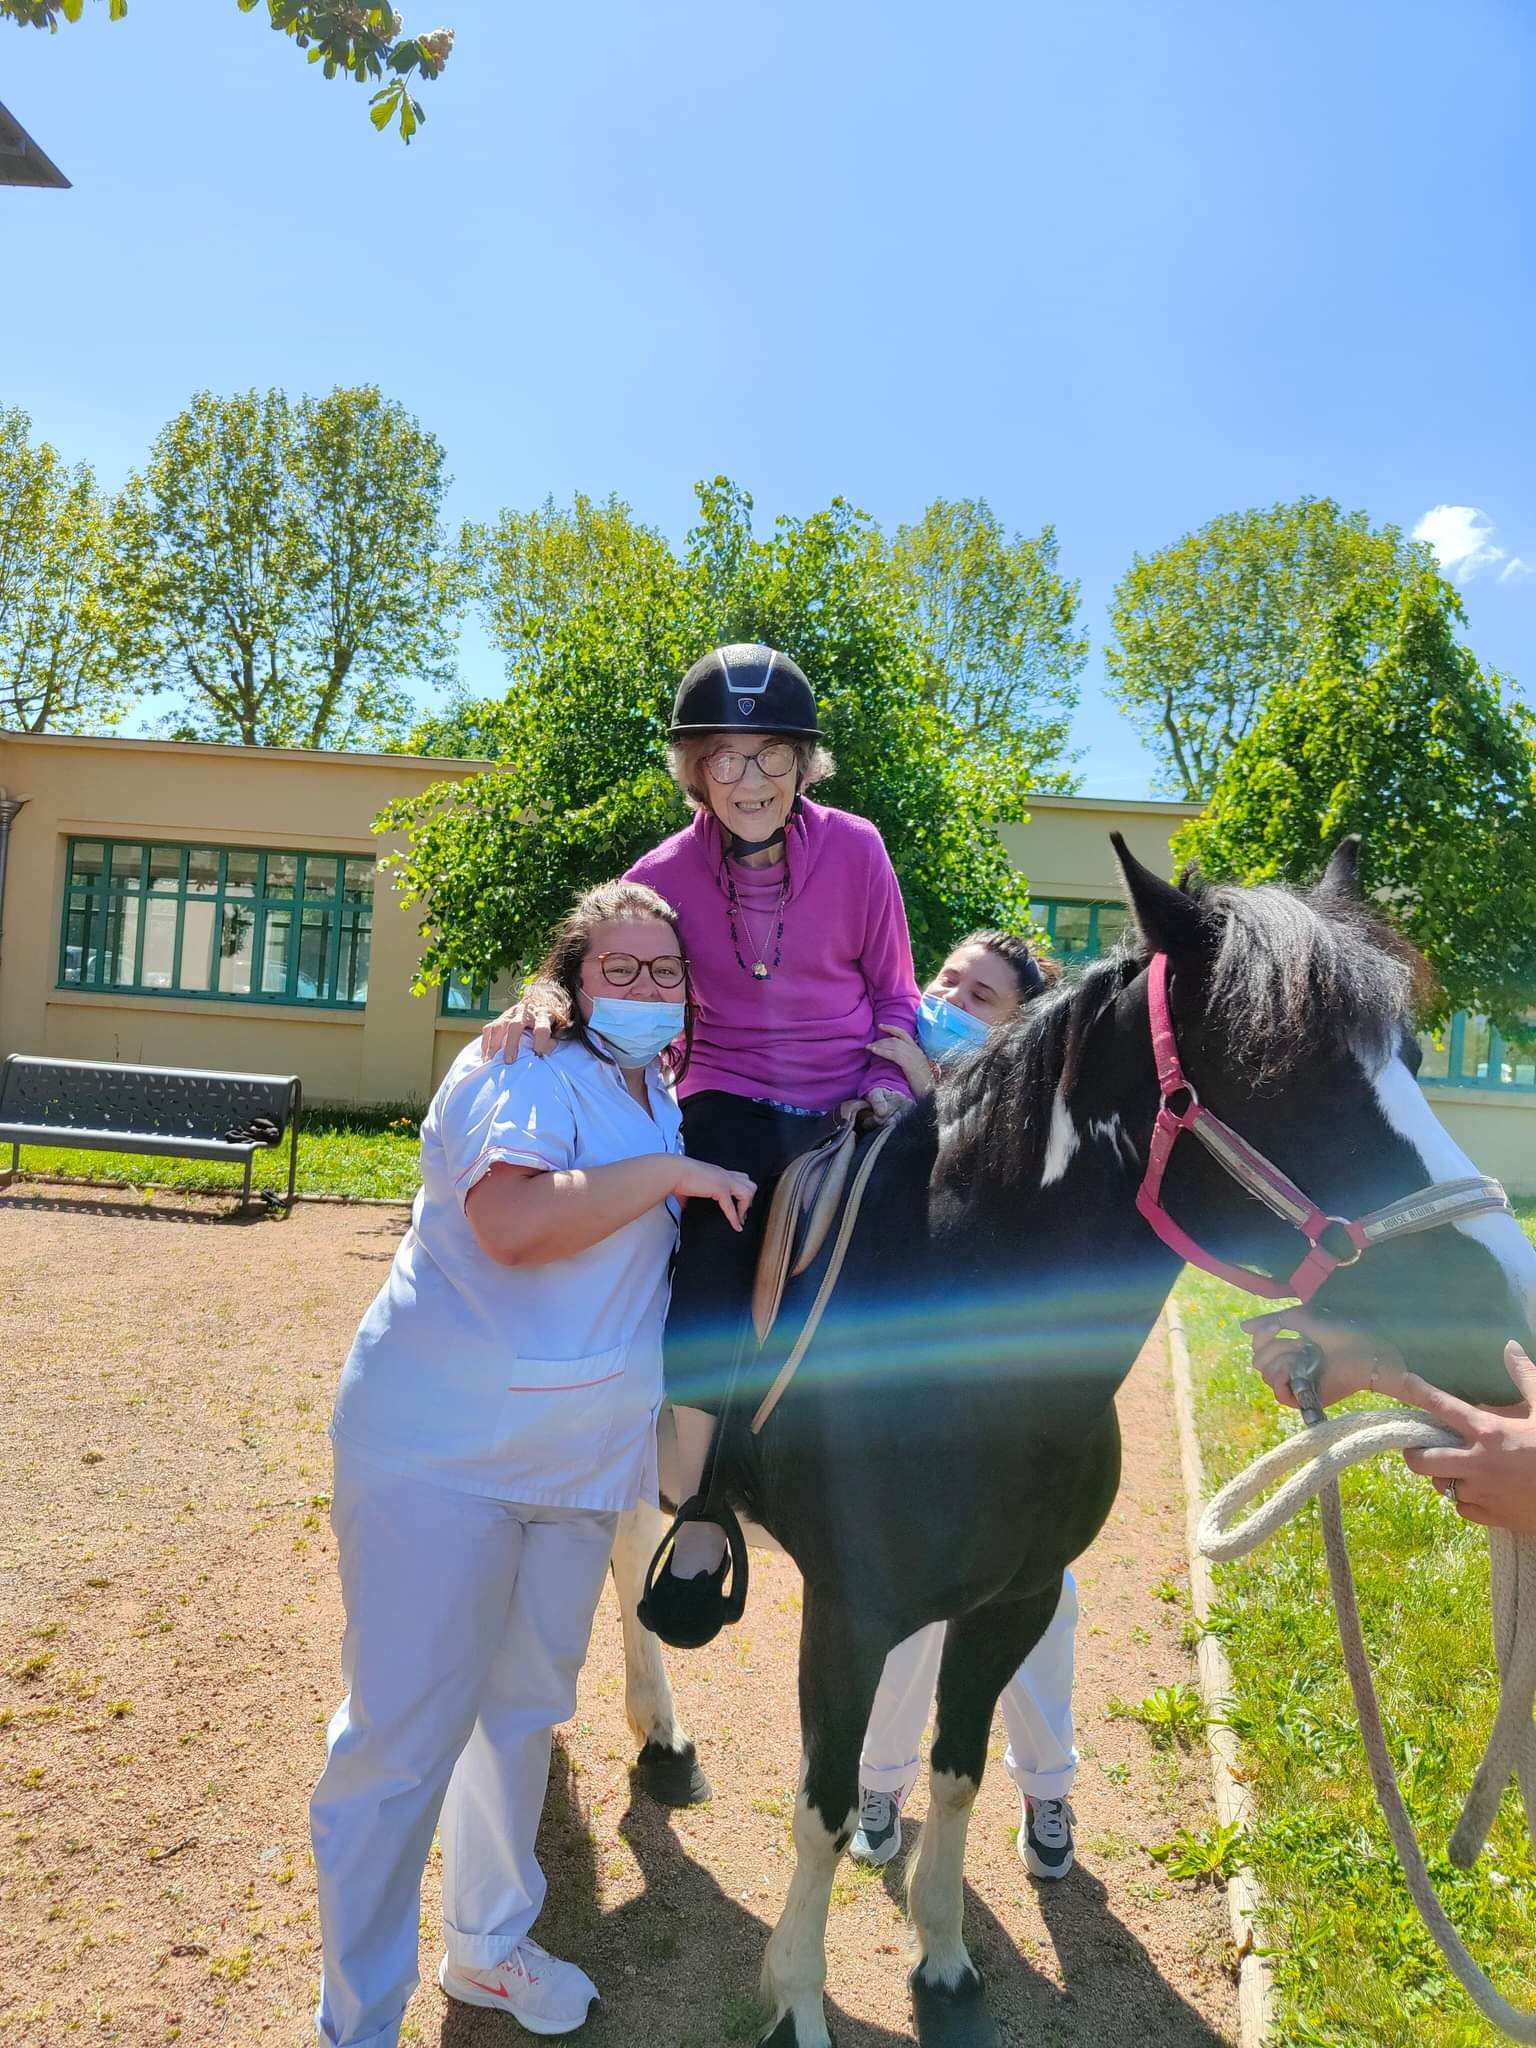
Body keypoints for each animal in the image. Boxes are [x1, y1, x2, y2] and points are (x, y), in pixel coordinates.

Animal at [618, 836, 1536, 2048]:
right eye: (1281, 1069)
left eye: (1418, 1056)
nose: (1513, 1310)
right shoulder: (849, 1617)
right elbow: (822, 1806)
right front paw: (800, 2000)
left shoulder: (1014, 1602)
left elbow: (958, 1773)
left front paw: (945, 1964)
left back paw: (663, 1744)